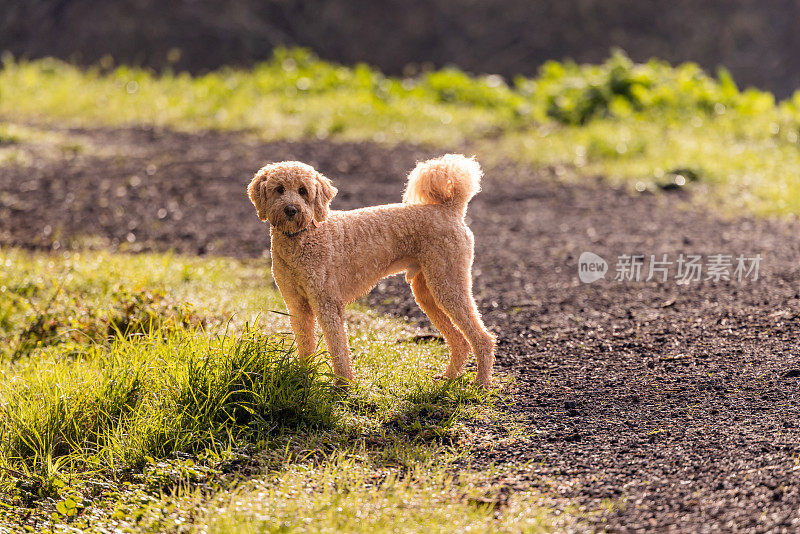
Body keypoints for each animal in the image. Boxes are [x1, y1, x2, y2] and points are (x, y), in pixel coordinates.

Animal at [245, 154, 494, 386]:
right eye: (279, 189)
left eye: (303, 191)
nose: (291, 210)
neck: (305, 236)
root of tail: (451, 209)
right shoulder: (297, 304)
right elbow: (305, 344)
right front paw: (305, 377)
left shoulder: (327, 303)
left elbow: (338, 346)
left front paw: (342, 385)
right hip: (428, 292)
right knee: (460, 341)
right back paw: (448, 378)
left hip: (448, 284)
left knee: (483, 338)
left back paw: (480, 383)